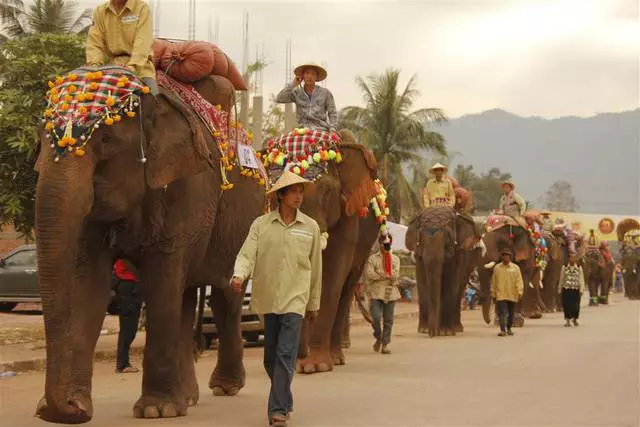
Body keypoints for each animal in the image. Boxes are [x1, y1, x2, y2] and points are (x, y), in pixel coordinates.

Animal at [33, 71, 264, 424]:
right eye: (40, 141)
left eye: (106, 142)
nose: (68, 408)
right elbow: (89, 284)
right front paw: (74, 405)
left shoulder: (188, 187)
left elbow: (162, 278)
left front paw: (157, 410)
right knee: (186, 296)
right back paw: (189, 397)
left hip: (244, 221)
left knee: (225, 296)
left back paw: (224, 387)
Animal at [294, 137, 382, 374]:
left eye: (325, 191)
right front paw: (298, 365)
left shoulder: (348, 216)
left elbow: (331, 276)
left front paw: (314, 366)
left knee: (346, 288)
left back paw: (336, 358)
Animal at [408, 207, 482, 338]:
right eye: (420, 238)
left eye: (448, 238)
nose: (432, 334)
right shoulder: (419, 256)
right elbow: (422, 283)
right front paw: (424, 330)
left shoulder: (457, 253)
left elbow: (450, 282)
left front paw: (444, 332)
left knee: (459, 289)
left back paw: (456, 328)